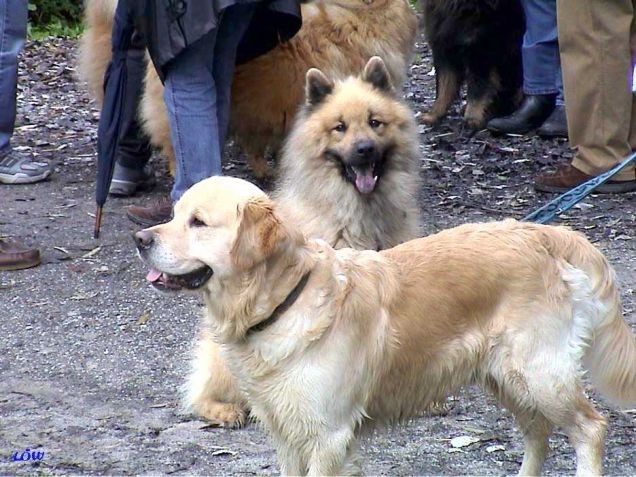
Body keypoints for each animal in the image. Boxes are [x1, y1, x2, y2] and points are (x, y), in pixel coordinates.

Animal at [134, 176, 636, 476]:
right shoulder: (286, 431)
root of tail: (547, 233)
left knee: (590, 427)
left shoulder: (328, 436)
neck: (283, 302)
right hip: (506, 377)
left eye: (198, 222)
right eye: (174, 215)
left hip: (539, 374)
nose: (140, 239)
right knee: (538, 433)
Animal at [422, 0, 520, 128]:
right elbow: (443, 89)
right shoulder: (443, 51)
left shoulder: (480, 54)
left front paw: (472, 118)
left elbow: (477, 90)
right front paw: (434, 114)